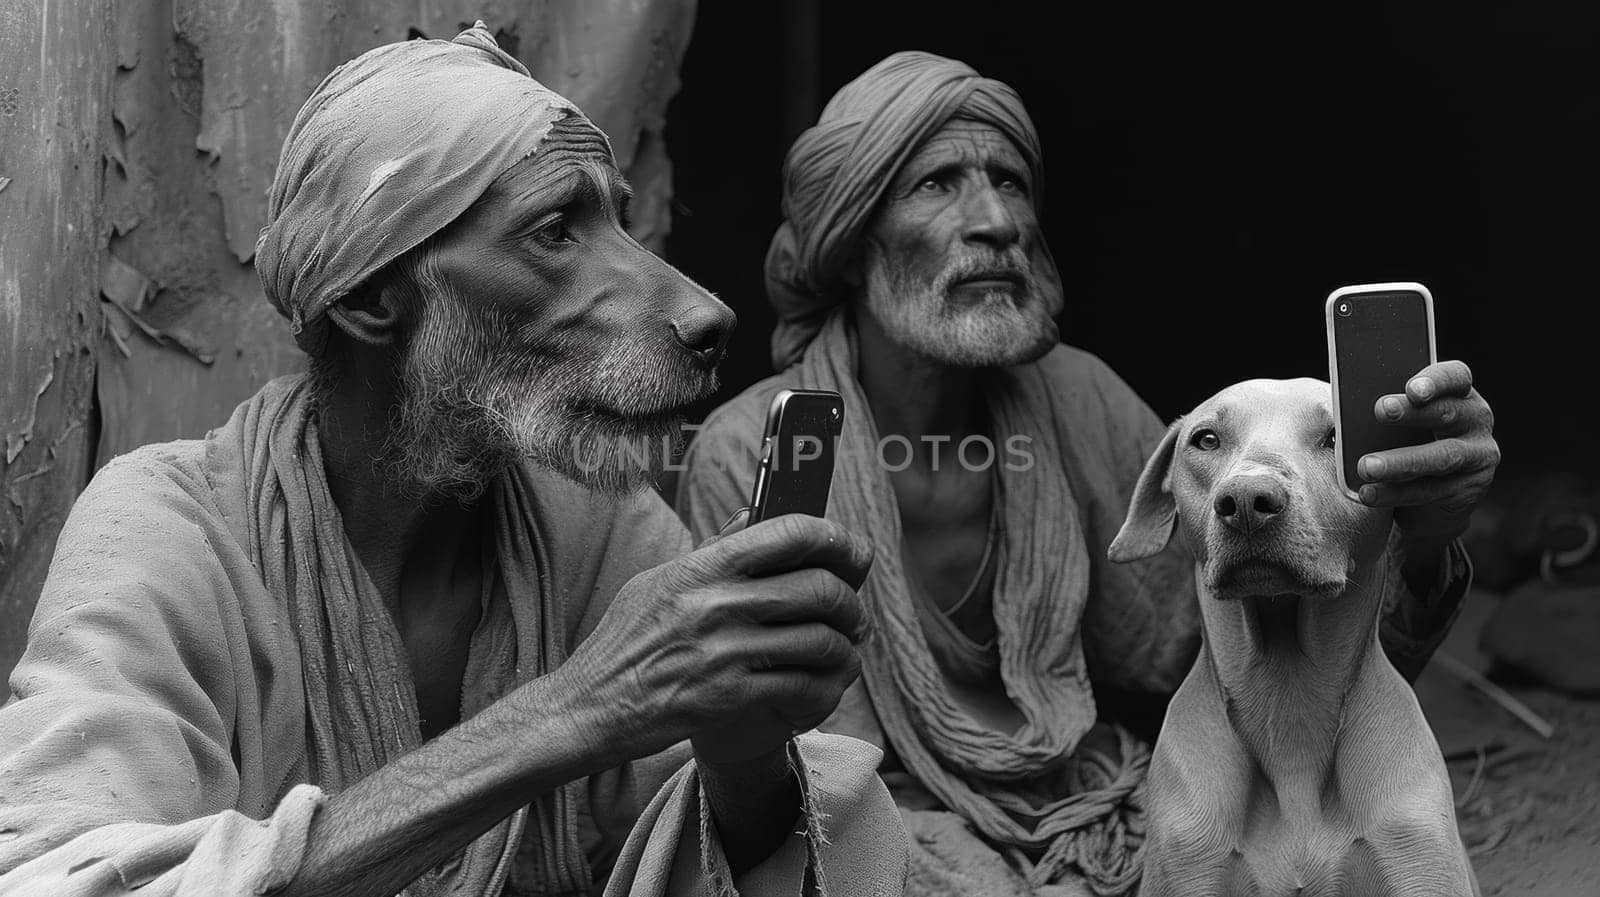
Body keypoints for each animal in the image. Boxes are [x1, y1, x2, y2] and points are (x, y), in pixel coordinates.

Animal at [1113, 377, 1472, 895]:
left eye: (1338, 438)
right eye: (1206, 439)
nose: (1246, 502)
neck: (1288, 700)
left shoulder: (1412, 851)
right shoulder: (1190, 861)